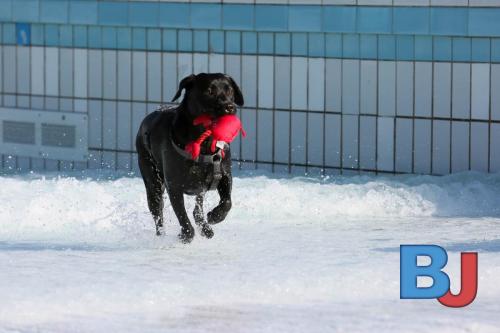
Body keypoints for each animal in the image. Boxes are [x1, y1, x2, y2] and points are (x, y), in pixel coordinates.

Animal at [135, 73, 244, 241]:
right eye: (209, 91)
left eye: (230, 90)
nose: (230, 106)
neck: (205, 144)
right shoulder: (174, 186)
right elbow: (181, 214)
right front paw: (186, 234)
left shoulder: (225, 175)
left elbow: (227, 201)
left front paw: (215, 216)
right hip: (151, 179)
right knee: (157, 212)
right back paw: (162, 235)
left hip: (200, 187)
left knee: (197, 210)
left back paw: (206, 228)